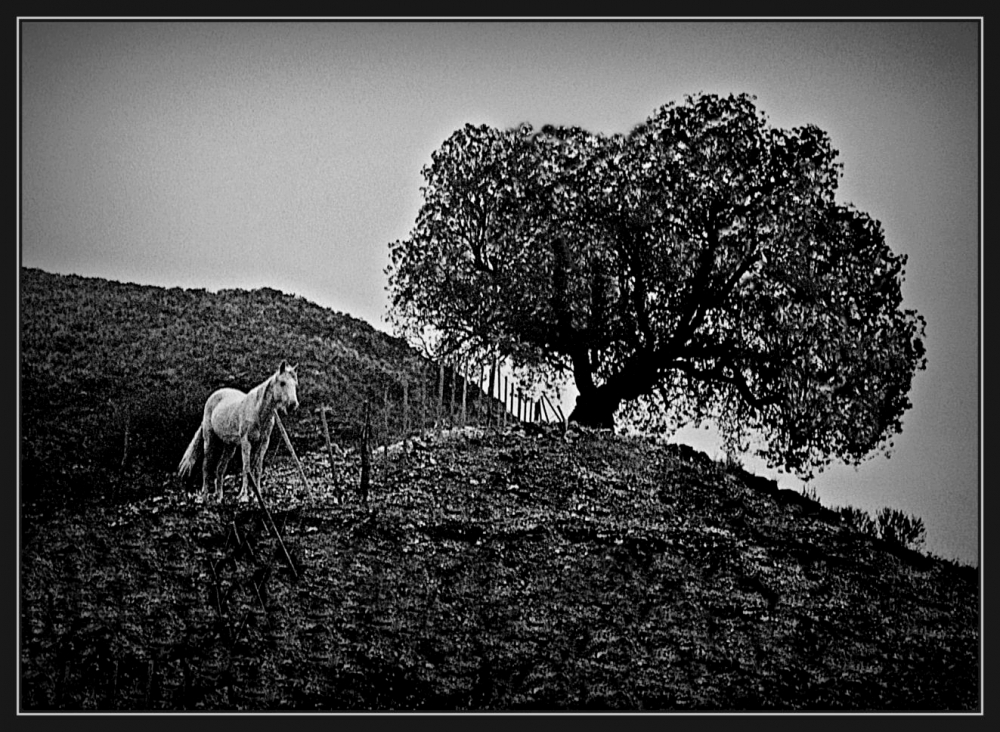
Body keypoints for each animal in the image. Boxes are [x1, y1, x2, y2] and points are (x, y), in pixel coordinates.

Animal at [178, 360, 298, 504]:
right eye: (282, 383)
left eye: (295, 384)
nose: (293, 404)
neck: (257, 411)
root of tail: (214, 396)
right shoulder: (246, 443)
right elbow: (246, 468)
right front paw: (244, 496)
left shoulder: (263, 443)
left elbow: (257, 468)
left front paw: (257, 496)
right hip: (209, 441)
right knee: (206, 467)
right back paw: (205, 497)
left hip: (229, 446)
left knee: (220, 469)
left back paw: (220, 498)